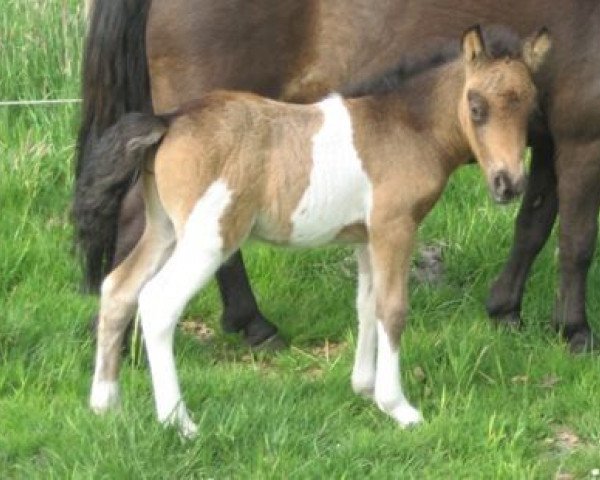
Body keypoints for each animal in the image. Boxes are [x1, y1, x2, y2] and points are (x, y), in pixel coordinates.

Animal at [76, 0, 600, 352]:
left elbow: (532, 228)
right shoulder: (582, 141)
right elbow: (576, 243)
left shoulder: (550, 143)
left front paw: (506, 311)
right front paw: (575, 331)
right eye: (475, 107)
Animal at [86, 28, 552, 436]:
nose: (509, 184)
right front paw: (398, 407)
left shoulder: (365, 237)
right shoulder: (395, 227)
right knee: (158, 303)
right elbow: (393, 309)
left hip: (163, 230)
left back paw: (106, 405)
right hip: (207, 238)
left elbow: (367, 305)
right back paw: (179, 424)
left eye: (531, 107)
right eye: (476, 106)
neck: (403, 127)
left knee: (118, 288)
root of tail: (170, 120)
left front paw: (364, 389)